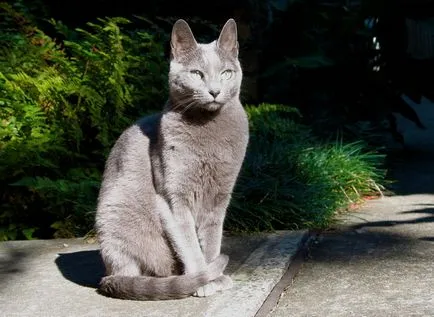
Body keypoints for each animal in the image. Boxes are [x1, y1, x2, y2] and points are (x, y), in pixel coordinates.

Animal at [95, 18, 249, 300]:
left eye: (226, 73)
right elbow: (189, 244)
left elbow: (212, 241)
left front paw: (215, 275)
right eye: (197, 73)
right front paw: (203, 279)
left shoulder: (219, 197)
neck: (208, 132)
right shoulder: (173, 197)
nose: (214, 91)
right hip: (114, 216)